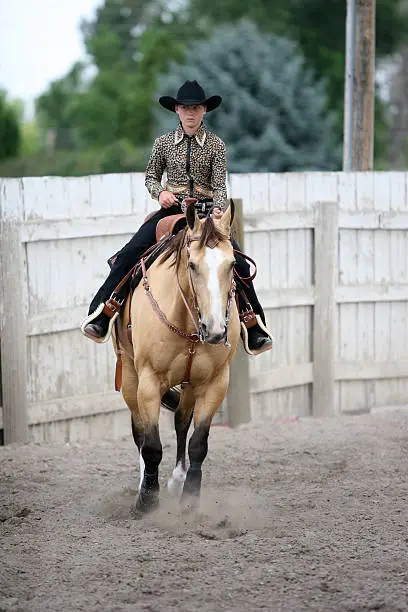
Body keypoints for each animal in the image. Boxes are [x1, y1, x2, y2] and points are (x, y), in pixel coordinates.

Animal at [112, 200, 239, 512]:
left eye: (232, 264)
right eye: (192, 264)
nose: (215, 330)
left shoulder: (216, 382)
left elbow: (198, 442)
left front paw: (190, 496)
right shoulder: (148, 382)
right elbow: (152, 445)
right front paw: (147, 500)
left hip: (190, 382)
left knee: (182, 420)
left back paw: (178, 479)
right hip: (130, 376)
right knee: (140, 432)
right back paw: (144, 483)